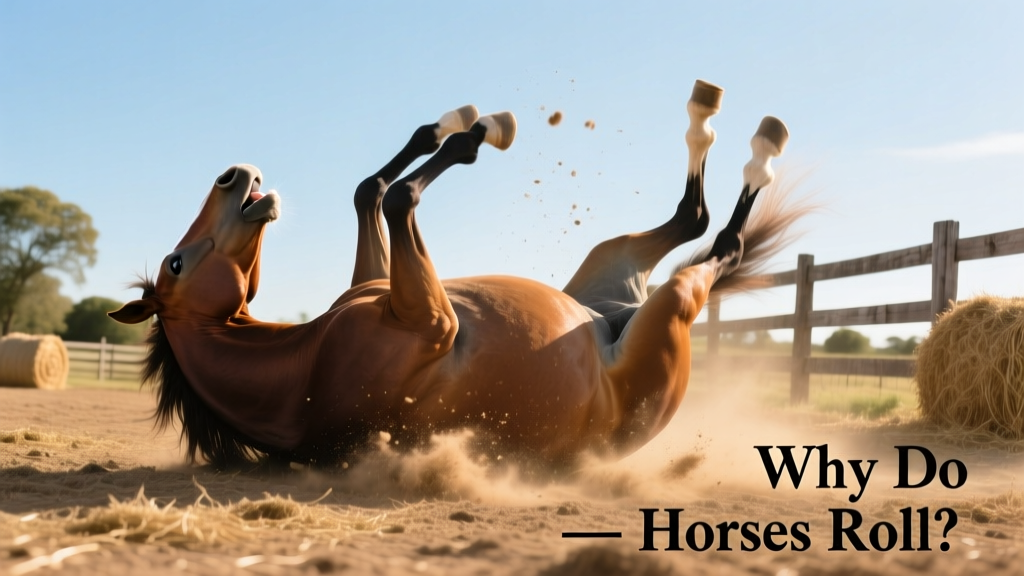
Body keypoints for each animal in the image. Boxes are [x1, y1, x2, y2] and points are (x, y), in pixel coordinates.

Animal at [110, 80, 807, 468]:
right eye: (176, 263)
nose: (232, 176)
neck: (303, 372)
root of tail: (617, 317)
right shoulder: (435, 321)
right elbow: (398, 196)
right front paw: (474, 134)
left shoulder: (378, 283)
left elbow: (370, 190)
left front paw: (447, 124)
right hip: (667, 311)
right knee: (720, 242)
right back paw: (757, 146)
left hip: (610, 264)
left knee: (694, 219)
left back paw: (720, 119)